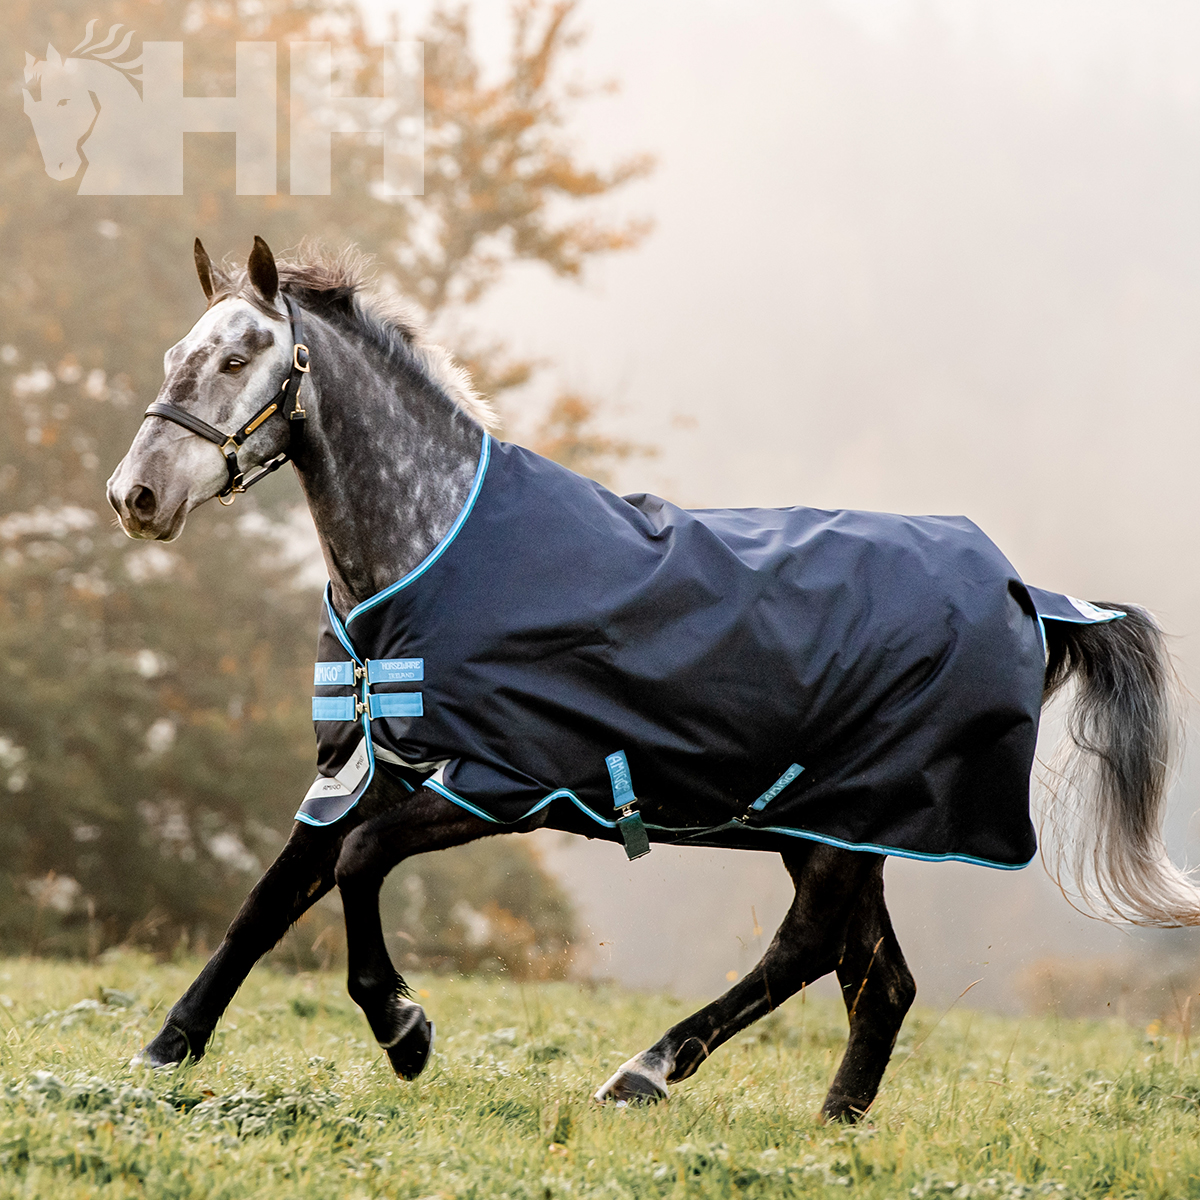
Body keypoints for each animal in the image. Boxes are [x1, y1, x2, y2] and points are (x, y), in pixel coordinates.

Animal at [106, 236, 1200, 1122]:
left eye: (240, 357)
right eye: (173, 356)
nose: (136, 496)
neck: (434, 552)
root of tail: (1030, 595)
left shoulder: (502, 786)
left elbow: (359, 864)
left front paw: (404, 1032)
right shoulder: (360, 768)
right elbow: (270, 897)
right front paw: (166, 1050)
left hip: (842, 828)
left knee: (809, 950)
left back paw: (644, 1072)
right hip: (838, 826)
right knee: (877, 982)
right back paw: (831, 1124)